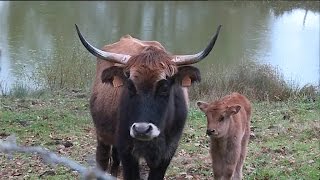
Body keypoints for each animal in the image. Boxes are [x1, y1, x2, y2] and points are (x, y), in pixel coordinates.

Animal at [74, 24, 221, 180]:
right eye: (130, 86)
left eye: (164, 87)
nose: (141, 129)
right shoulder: (127, 151)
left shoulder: (167, 152)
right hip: (102, 137)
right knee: (102, 159)